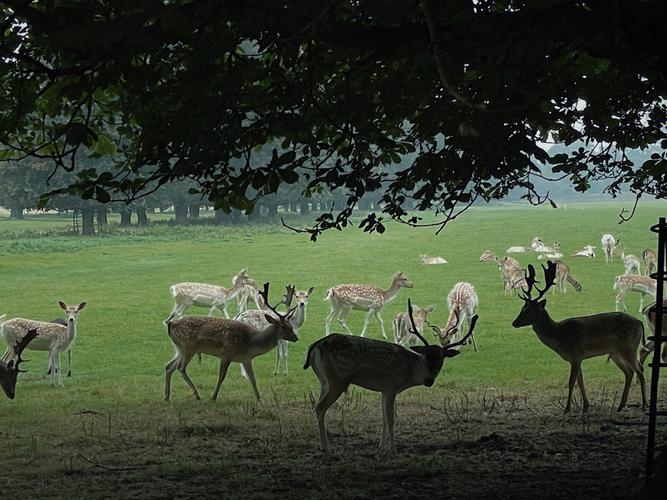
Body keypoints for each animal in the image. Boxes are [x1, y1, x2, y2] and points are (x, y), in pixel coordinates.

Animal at [164, 282, 298, 402]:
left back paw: (167, 397)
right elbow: (221, 377)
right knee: (180, 368)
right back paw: (196, 394)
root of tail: (171, 324)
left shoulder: (246, 358)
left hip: (180, 349)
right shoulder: (226, 354)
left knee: (169, 366)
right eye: (283, 327)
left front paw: (259, 399)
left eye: (290, 325)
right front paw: (213, 397)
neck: (251, 342)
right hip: (188, 347)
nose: (296, 337)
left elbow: (253, 378)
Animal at [306, 298, 478, 456]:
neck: (408, 373)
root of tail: (314, 346)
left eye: (441, 360)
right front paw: (393, 449)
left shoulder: (383, 390)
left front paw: (381, 446)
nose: (429, 380)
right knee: (320, 408)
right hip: (338, 380)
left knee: (318, 404)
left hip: (324, 381)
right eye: (425, 357)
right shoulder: (391, 387)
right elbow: (391, 419)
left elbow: (383, 418)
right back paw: (326, 447)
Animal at [512, 260, 648, 412]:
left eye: (529, 311)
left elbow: (572, 382)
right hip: (615, 352)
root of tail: (639, 322)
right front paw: (585, 406)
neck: (560, 336)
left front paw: (567, 408)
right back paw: (620, 405)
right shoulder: (577, 358)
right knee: (629, 372)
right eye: (522, 308)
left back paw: (644, 405)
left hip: (629, 346)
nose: (514, 323)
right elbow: (580, 381)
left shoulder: (576, 355)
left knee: (640, 370)